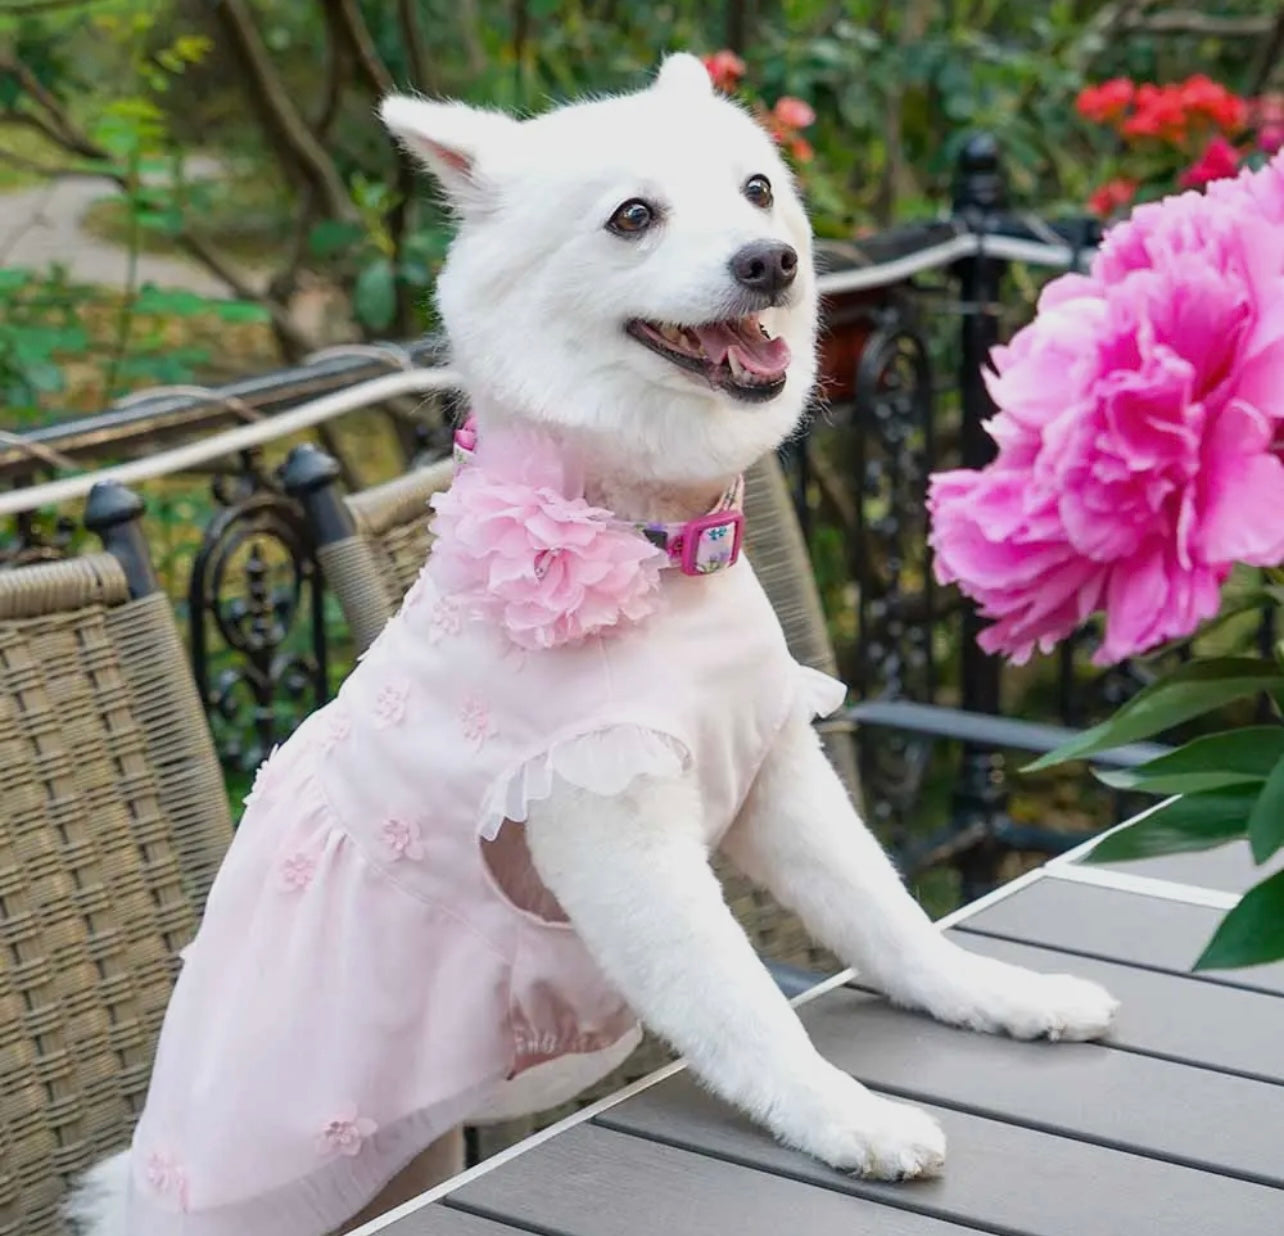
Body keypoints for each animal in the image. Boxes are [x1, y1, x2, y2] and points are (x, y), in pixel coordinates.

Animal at [67, 55, 1114, 1236]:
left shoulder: (779, 775)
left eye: (757, 190)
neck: (659, 548)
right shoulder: (617, 839)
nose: (772, 261)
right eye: (633, 217)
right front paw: (850, 1119)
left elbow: (888, 918)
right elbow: (744, 1005)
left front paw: (1002, 996)